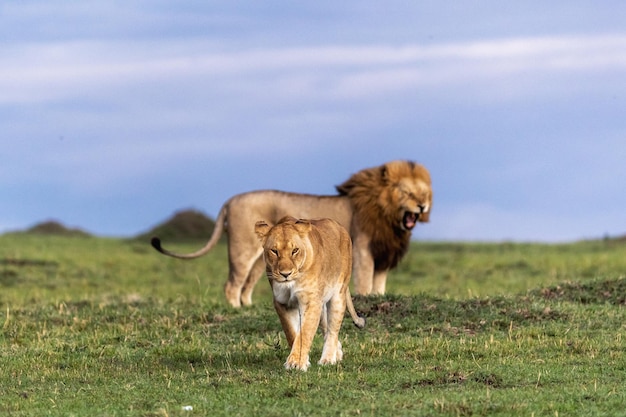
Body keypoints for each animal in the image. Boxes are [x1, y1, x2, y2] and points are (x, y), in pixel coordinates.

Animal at [154, 159, 432, 306]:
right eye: (407, 192)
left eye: (424, 193)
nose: (422, 206)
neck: (391, 220)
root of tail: (230, 201)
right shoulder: (364, 250)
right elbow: (365, 282)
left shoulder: (384, 256)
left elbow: (379, 286)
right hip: (243, 249)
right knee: (232, 285)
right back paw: (235, 310)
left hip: (264, 259)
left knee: (246, 286)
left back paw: (248, 308)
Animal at [252, 216, 360, 368]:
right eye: (274, 251)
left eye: (295, 250)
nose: (286, 274)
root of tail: (339, 226)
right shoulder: (282, 303)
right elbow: (292, 333)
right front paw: (302, 359)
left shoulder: (310, 301)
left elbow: (305, 331)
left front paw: (296, 363)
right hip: (321, 304)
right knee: (326, 327)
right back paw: (337, 353)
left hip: (338, 294)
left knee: (333, 330)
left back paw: (328, 359)